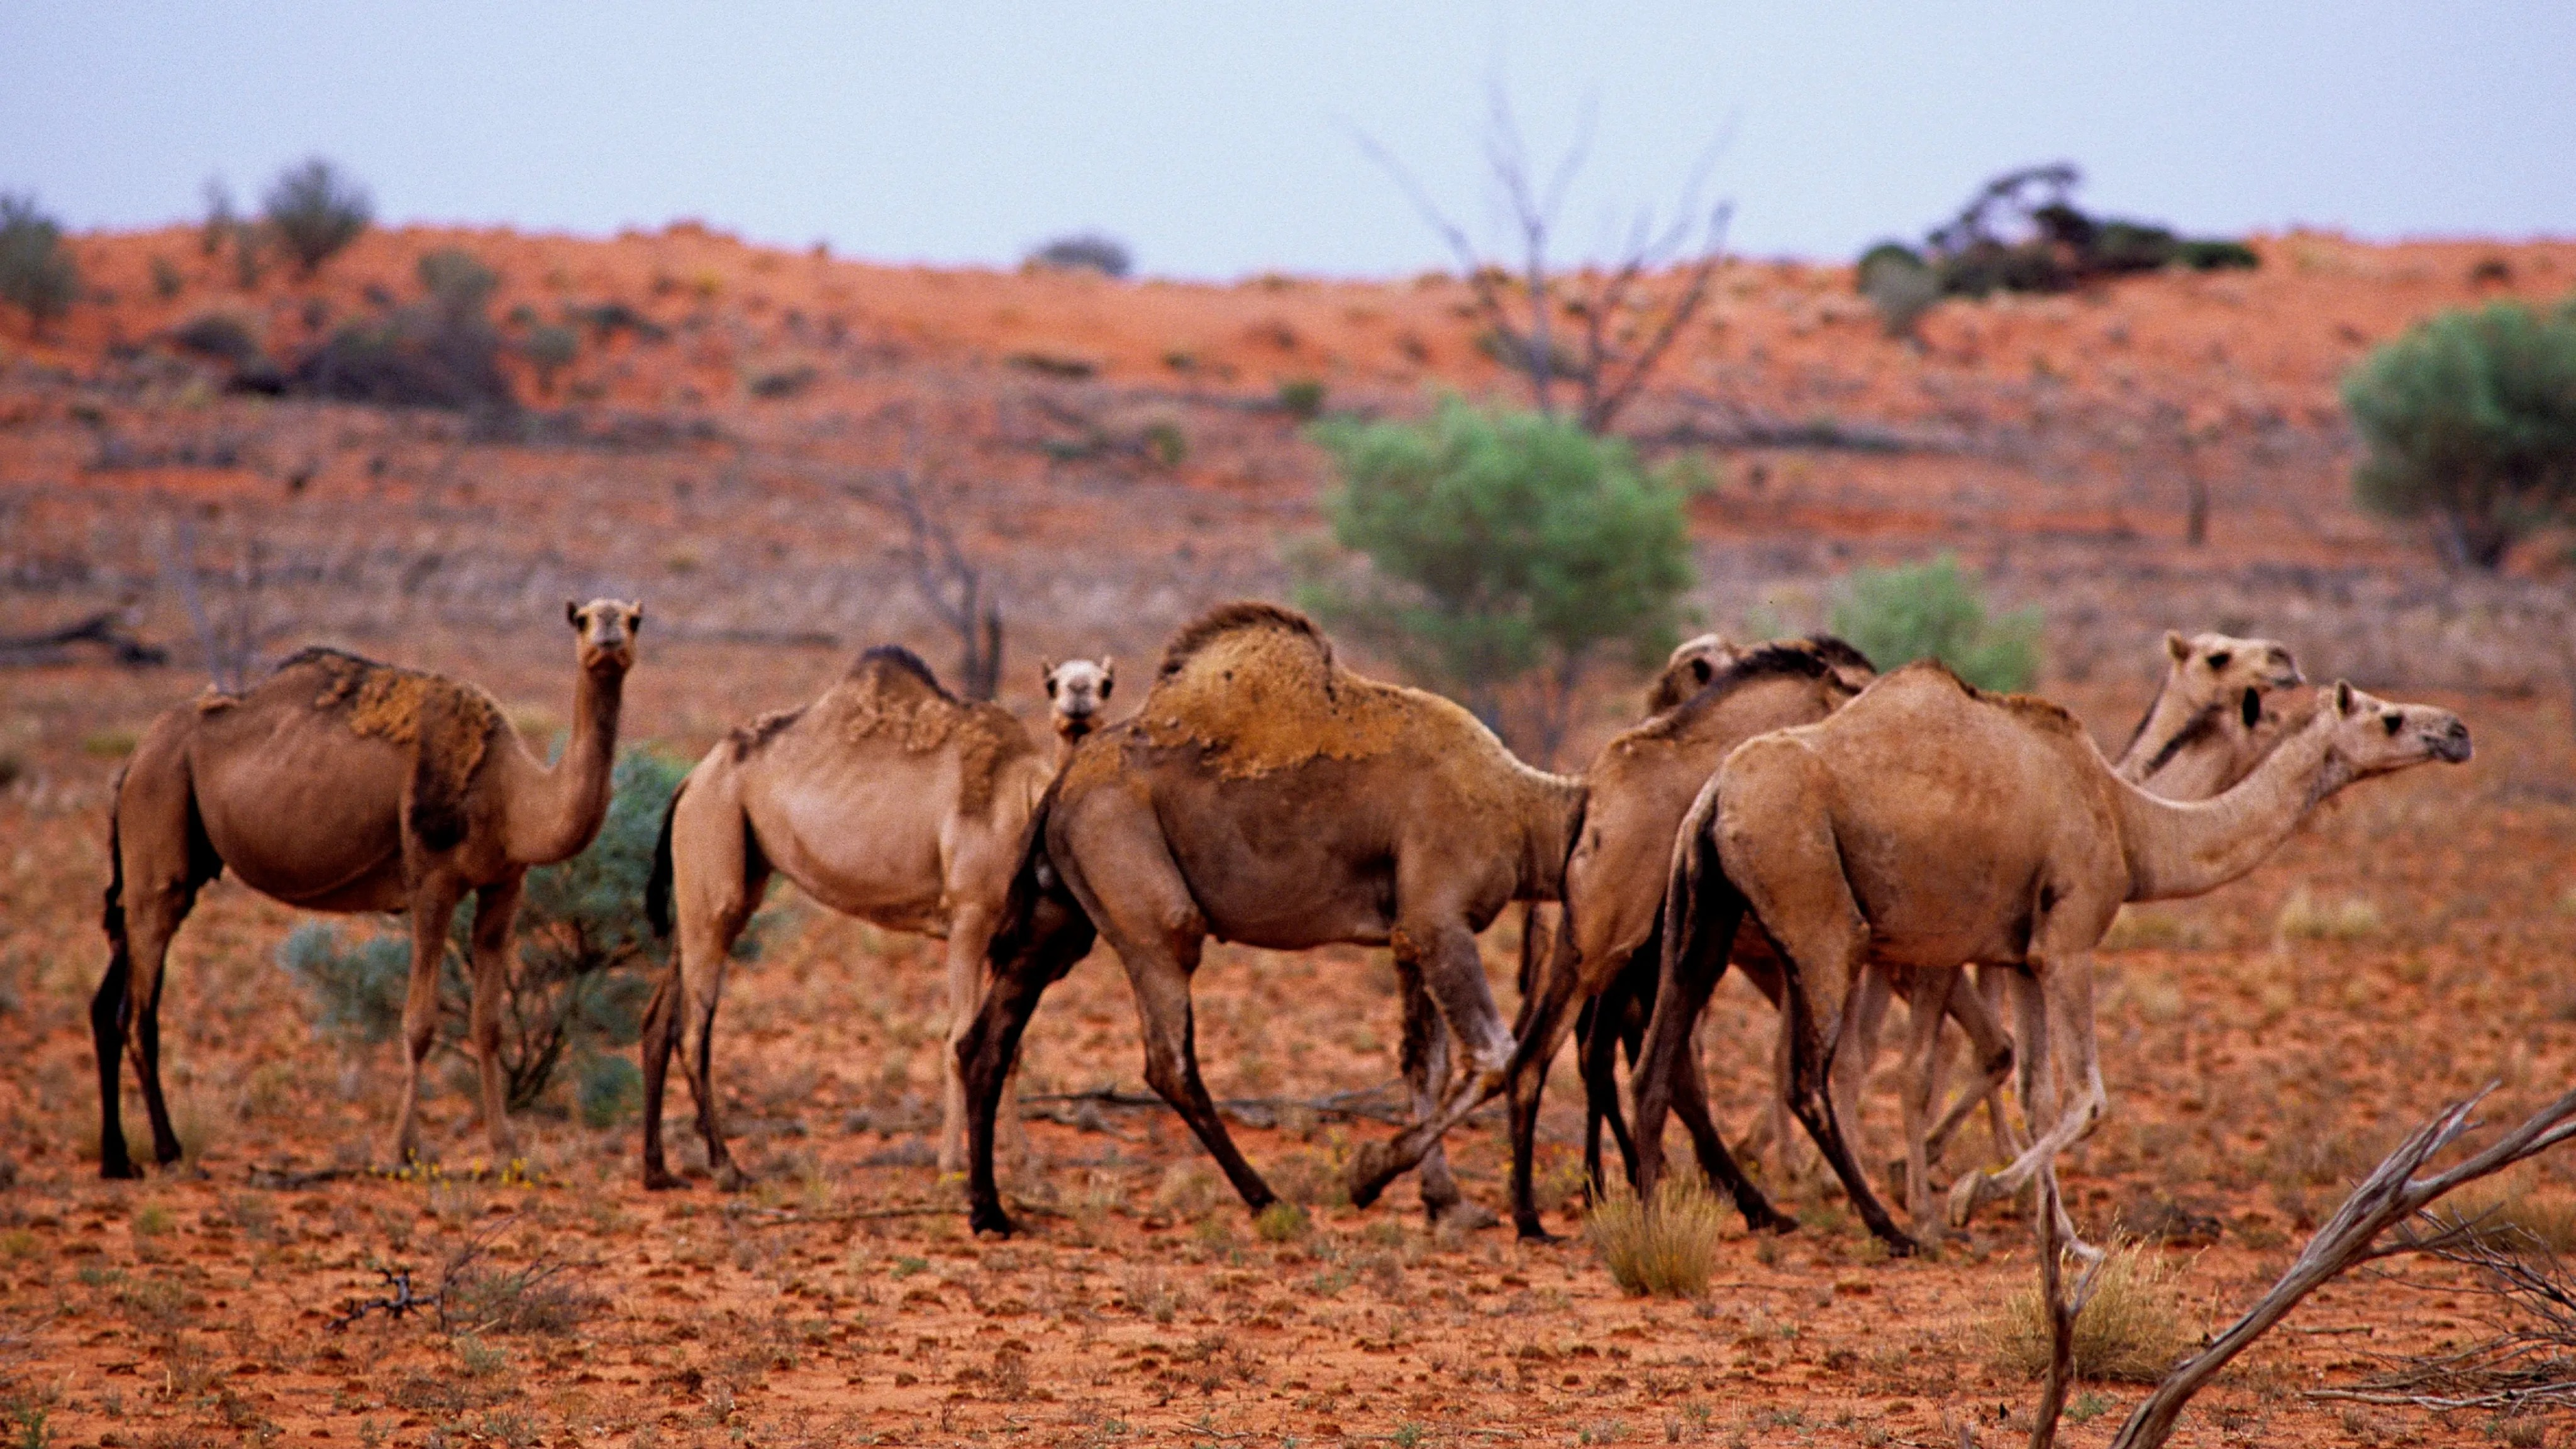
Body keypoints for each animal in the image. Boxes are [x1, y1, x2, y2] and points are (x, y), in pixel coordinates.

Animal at [99, 598, 644, 1175]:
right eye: (582, 619)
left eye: (634, 619)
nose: (609, 637)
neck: (510, 792)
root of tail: (133, 760)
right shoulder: (432, 880)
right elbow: (419, 1022)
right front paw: (403, 1149)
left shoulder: (504, 885)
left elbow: (489, 1023)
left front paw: (505, 1149)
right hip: (159, 813)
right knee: (140, 1009)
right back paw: (169, 1150)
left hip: (169, 850)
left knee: (112, 998)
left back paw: (117, 1159)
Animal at [641, 641, 1108, 1185]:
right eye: (1052, 683)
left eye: (1106, 683)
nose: (1079, 698)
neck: (1022, 804)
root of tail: (691, 779)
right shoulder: (969, 917)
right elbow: (960, 1041)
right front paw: (951, 1166)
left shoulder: (1004, 938)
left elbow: (1008, 1048)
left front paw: (1024, 1164)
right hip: (714, 848)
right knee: (695, 1028)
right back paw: (726, 1166)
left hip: (708, 878)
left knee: (659, 1018)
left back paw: (657, 1170)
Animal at [953, 598, 1587, 1227]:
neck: (1522, 811)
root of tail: (1059, 789)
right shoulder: (1440, 923)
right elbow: (1494, 1057)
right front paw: (1368, 1174)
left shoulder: (1412, 934)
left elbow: (1423, 1063)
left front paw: (1446, 1202)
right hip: (1145, 902)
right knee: (1169, 1059)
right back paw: (1265, 1197)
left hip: (1058, 916)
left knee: (986, 1041)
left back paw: (989, 1210)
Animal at [1638, 665, 2462, 1243]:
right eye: (2390, 716)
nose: (2456, 731)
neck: (2131, 825)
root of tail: (1715, 794)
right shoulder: (2068, 946)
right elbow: (2087, 1098)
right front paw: (1968, 1197)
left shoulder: (2021, 960)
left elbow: (2037, 1100)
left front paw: (2058, 1236)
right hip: (1818, 915)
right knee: (1807, 1078)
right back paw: (1890, 1228)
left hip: (1701, 914)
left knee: (1660, 1057)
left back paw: (1659, 1206)